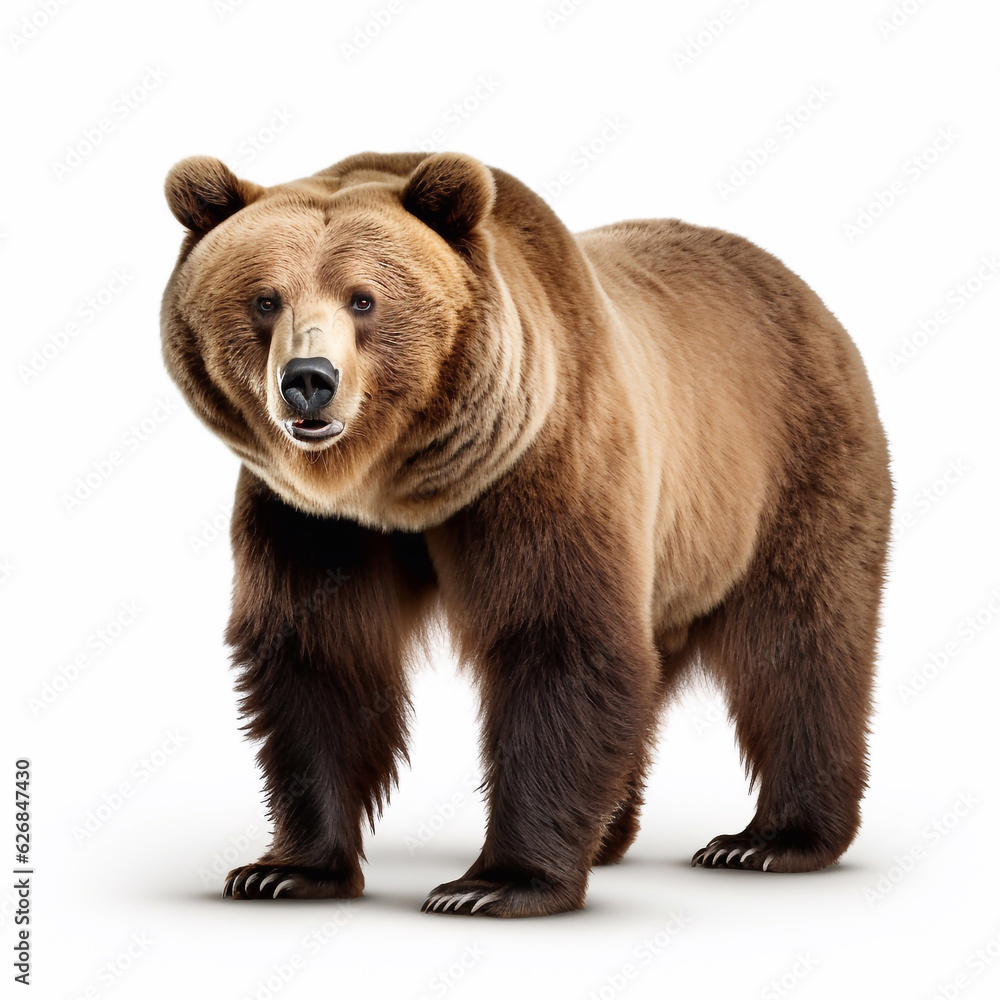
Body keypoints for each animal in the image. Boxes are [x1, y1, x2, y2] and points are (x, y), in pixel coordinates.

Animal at [160, 151, 892, 917]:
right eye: (265, 299)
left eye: (363, 300)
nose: (308, 380)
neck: (401, 487)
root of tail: (805, 291)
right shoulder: (311, 522)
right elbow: (317, 659)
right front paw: (284, 870)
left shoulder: (541, 463)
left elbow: (557, 643)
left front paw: (492, 884)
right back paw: (611, 833)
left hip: (789, 469)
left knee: (799, 644)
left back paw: (769, 841)